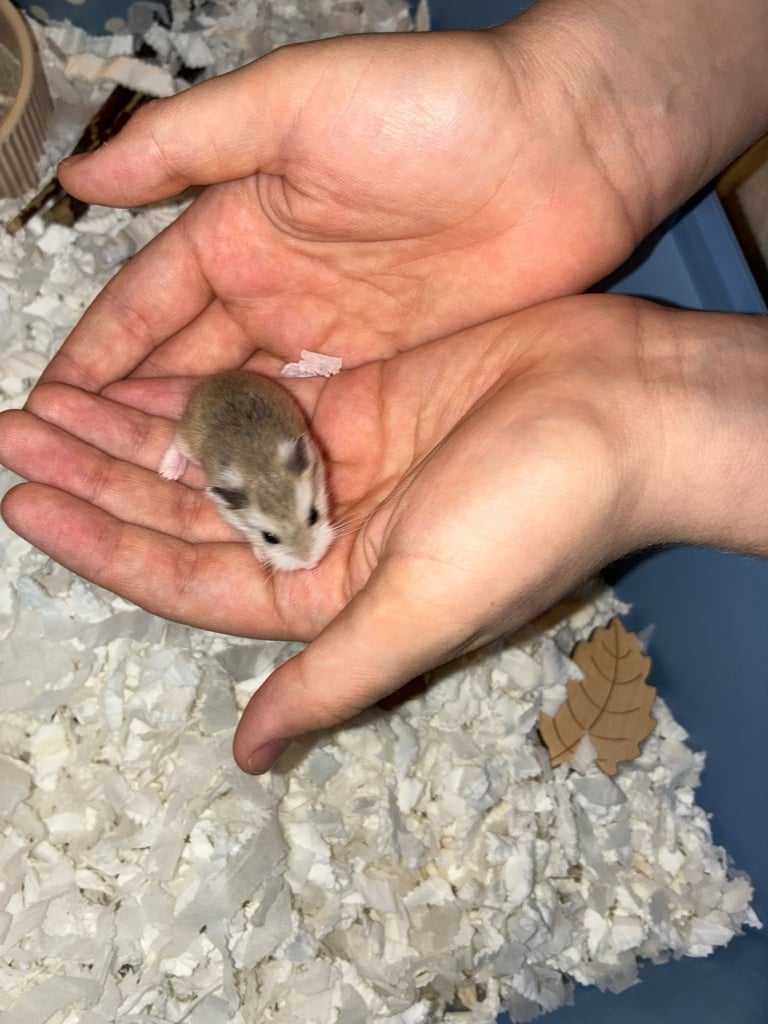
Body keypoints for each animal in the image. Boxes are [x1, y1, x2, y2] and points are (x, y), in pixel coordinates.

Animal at [158, 371, 333, 571]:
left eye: (314, 515)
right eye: (269, 538)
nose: (311, 564)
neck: (261, 469)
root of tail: (216, 377)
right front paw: (262, 557)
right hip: (188, 440)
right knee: (177, 443)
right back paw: (168, 473)